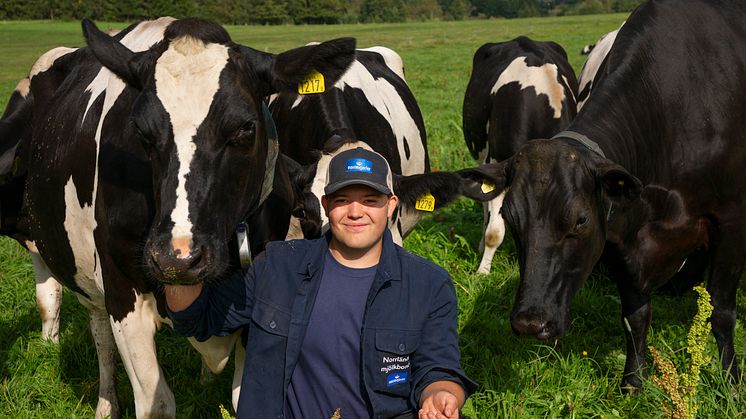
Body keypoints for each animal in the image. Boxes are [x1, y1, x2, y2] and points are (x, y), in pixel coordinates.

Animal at [5, 15, 354, 416]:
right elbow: (156, 403)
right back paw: (106, 403)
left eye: (245, 128)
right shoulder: (123, 293)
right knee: (89, 326)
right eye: (140, 130)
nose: (178, 258)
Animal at [476, 0, 744, 392]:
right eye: (511, 218)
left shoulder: (731, 221)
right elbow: (635, 316)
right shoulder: (621, 233)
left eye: (580, 220)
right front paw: (633, 383)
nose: (530, 322)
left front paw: (730, 383)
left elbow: (722, 312)